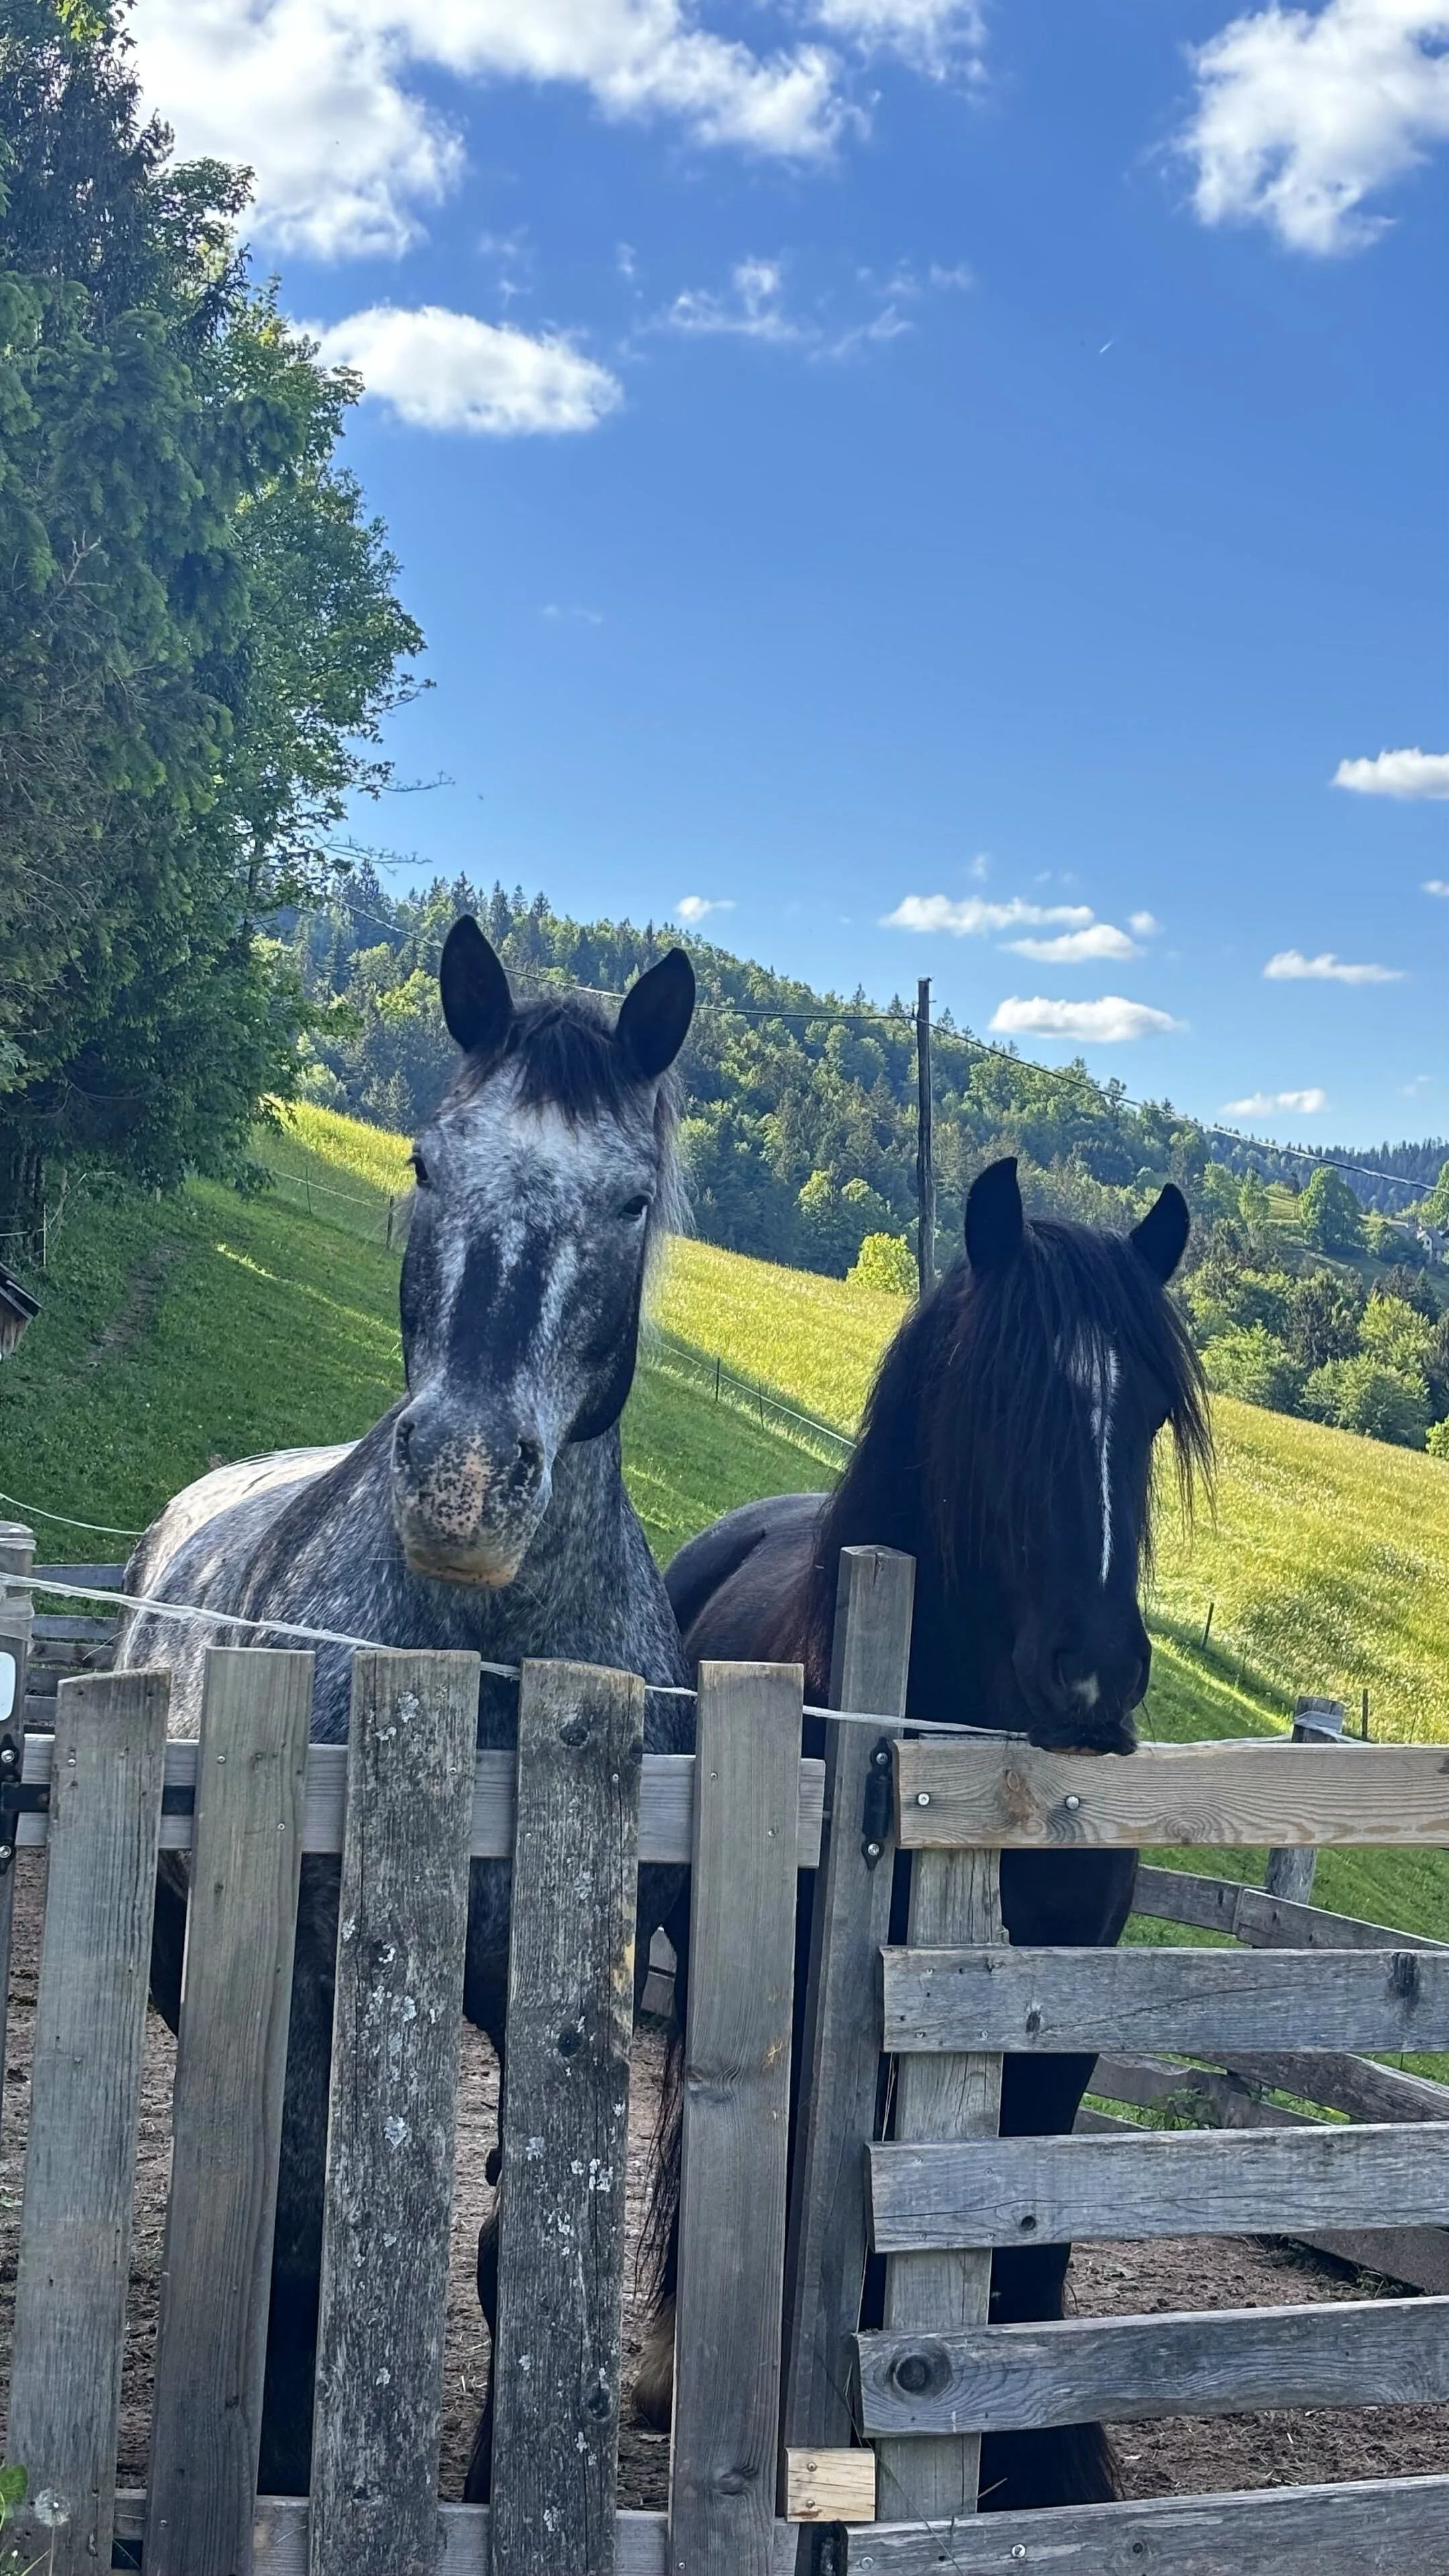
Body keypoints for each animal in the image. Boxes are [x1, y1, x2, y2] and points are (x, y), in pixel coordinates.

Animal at [116, 917, 697, 2500]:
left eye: (630, 1198)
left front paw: (504, 2478)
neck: (492, 1675)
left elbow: (522, 2246)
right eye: (430, 1162)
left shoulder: (565, 2002)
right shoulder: (317, 1975)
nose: (461, 1484)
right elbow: (307, 2223)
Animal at [657, 1155, 1211, 2511]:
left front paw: (1048, 2463)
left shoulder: (1064, 2009)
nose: (1095, 1676)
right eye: (1000, 1401)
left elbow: (1035, 2218)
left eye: (1146, 1417)